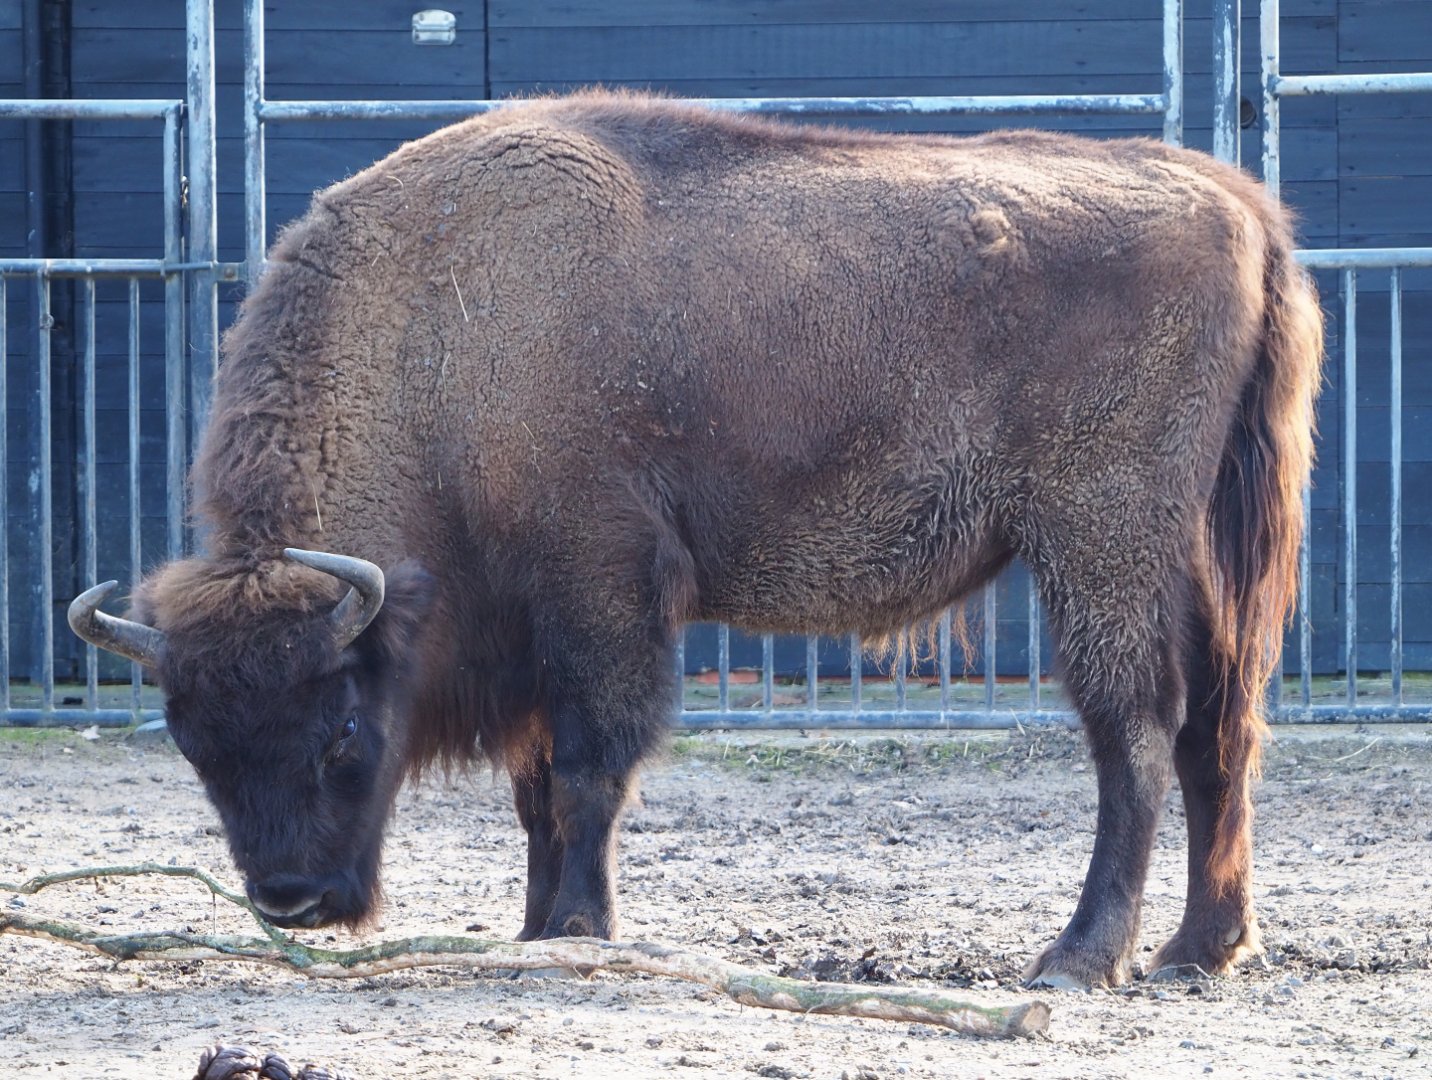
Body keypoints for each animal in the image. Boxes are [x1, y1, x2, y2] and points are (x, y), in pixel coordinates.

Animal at [70, 91, 1322, 990]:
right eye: (193, 746)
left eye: (339, 729)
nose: (289, 898)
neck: (441, 342)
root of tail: (1229, 199)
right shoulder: (541, 629)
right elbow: (538, 786)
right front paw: (535, 928)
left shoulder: (601, 586)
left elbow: (588, 770)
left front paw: (577, 928)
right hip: (1198, 552)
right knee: (1219, 726)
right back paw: (1199, 952)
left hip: (1098, 538)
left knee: (1133, 728)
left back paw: (1078, 960)